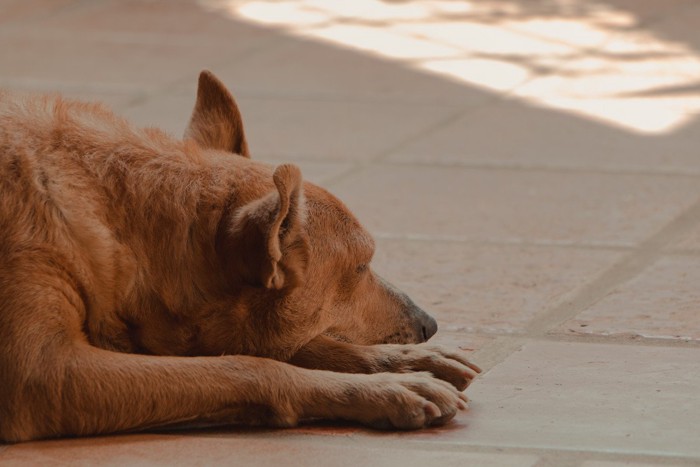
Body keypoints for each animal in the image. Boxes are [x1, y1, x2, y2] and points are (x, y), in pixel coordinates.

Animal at [0, 71, 482, 444]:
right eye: (362, 267)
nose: (429, 324)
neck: (118, 221)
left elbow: (307, 346)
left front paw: (404, 362)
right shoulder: (43, 373)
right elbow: (253, 367)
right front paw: (386, 389)